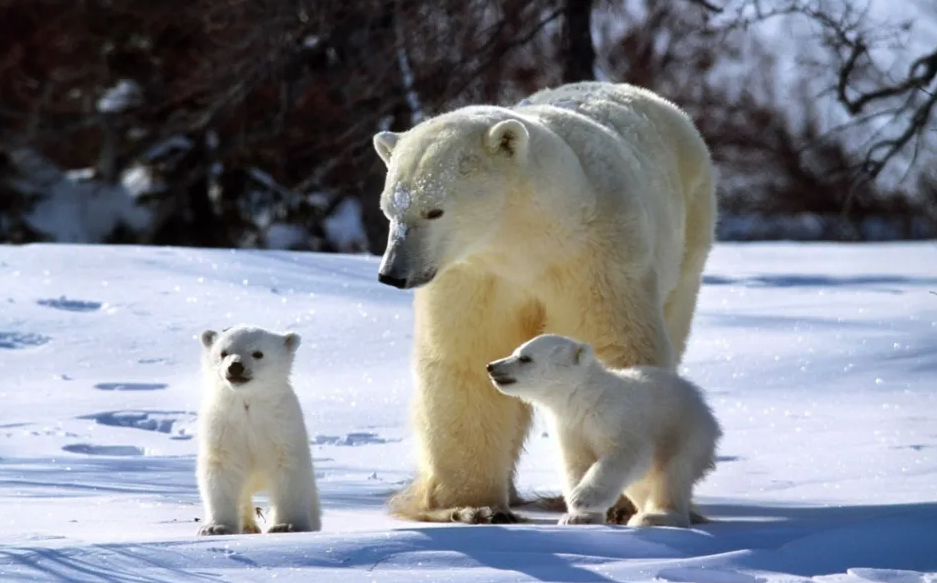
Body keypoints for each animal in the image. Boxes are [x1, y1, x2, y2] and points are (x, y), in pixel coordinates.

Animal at [195, 326, 322, 536]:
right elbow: (221, 468)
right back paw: (248, 526)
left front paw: (287, 526)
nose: (235, 366)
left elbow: (289, 470)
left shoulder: (281, 428)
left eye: (258, 353)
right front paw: (215, 527)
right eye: (223, 353)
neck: (248, 403)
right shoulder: (223, 427)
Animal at [486, 334, 720, 528]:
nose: (491, 366)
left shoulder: (617, 417)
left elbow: (627, 454)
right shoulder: (570, 428)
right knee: (641, 484)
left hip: (685, 432)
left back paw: (656, 516)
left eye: (525, 358)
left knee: (672, 475)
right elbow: (576, 464)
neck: (585, 399)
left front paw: (582, 498)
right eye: (515, 351)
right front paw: (578, 517)